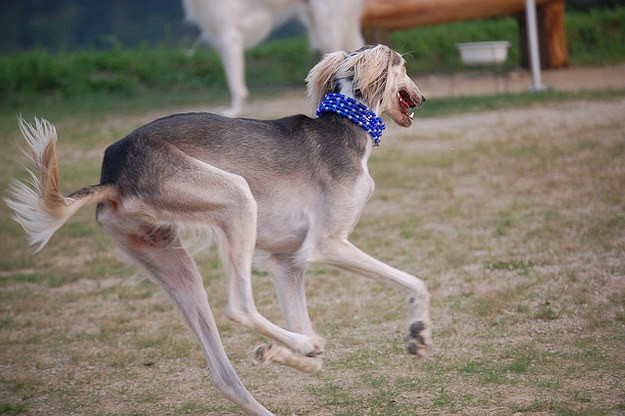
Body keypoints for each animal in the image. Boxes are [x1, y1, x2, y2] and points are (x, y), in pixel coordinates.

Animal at [6, 45, 428, 416]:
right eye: (404, 66)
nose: (422, 98)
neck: (345, 124)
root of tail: (112, 174)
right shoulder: (327, 245)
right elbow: (416, 282)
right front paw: (417, 332)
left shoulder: (286, 264)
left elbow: (317, 356)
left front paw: (281, 352)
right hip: (237, 199)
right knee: (239, 306)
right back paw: (300, 341)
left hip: (169, 258)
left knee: (223, 374)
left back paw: (294, 353)